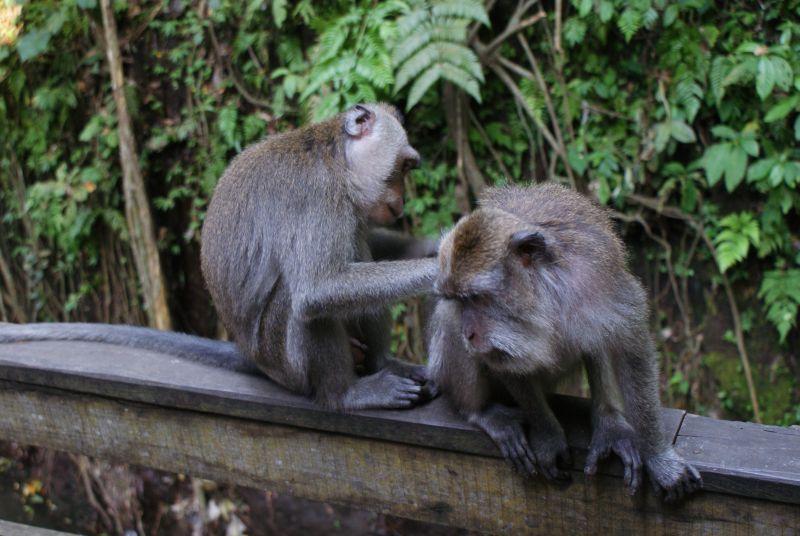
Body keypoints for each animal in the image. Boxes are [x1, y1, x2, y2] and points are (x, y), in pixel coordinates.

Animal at [0, 103, 438, 410]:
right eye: (403, 167)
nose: (401, 202)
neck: (335, 159)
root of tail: (251, 356)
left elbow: (367, 245)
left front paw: (435, 243)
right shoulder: (315, 197)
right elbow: (318, 288)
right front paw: (436, 268)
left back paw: (382, 363)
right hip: (286, 363)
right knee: (306, 305)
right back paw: (346, 394)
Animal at [432, 184, 700, 502]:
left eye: (475, 297)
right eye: (458, 300)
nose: (469, 333)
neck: (544, 299)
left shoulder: (598, 281)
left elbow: (630, 345)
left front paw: (659, 458)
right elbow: (500, 361)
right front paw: (548, 436)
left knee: (600, 337)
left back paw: (609, 424)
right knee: (448, 322)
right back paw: (479, 411)